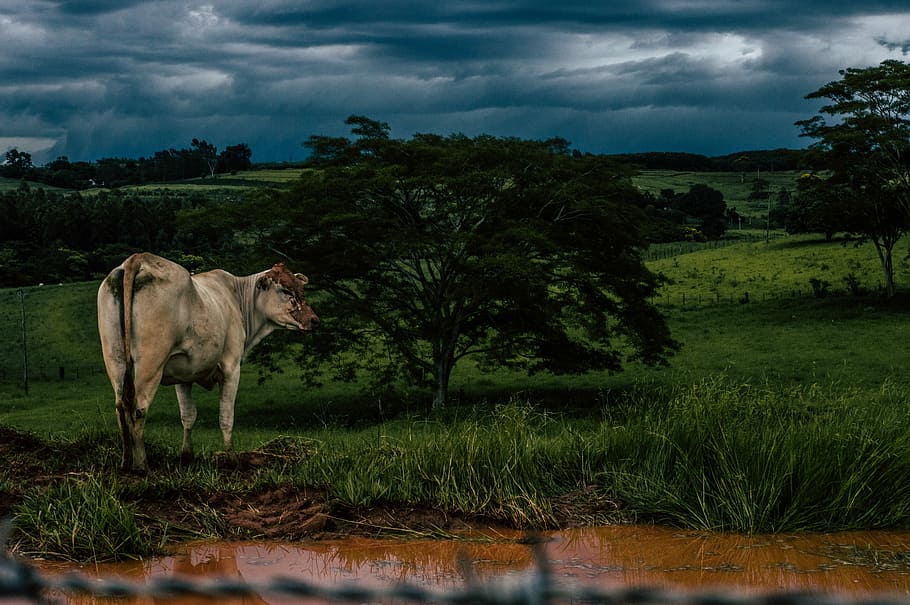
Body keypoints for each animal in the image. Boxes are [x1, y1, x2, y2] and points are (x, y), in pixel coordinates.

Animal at [97, 253, 318, 473]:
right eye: (285, 290)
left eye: (301, 288)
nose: (314, 320)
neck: (237, 299)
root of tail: (138, 258)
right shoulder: (231, 368)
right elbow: (226, 417)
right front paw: (231, 461)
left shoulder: (182, 375)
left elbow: (188, 415)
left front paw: (187, 457)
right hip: (151, 363)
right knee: (139, 408)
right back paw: (142, 465)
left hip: (114, 358)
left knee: (121, 406)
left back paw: (126, 462)